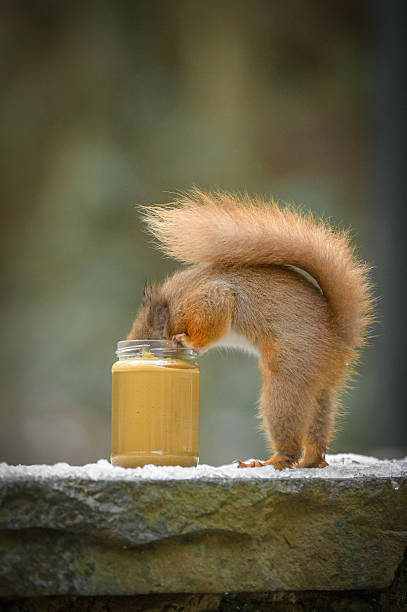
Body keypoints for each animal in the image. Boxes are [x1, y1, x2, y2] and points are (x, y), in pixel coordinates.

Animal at [127, 190, 372, 468]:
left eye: (147, 339)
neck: (173, 304)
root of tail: (339, 336)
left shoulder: (211, 298)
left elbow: (208, 328)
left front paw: (187, 342)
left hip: (290, 372)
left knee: (287, 429)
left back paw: (272, 461)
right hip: (320, 385)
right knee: (319, 422)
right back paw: (310, 461)